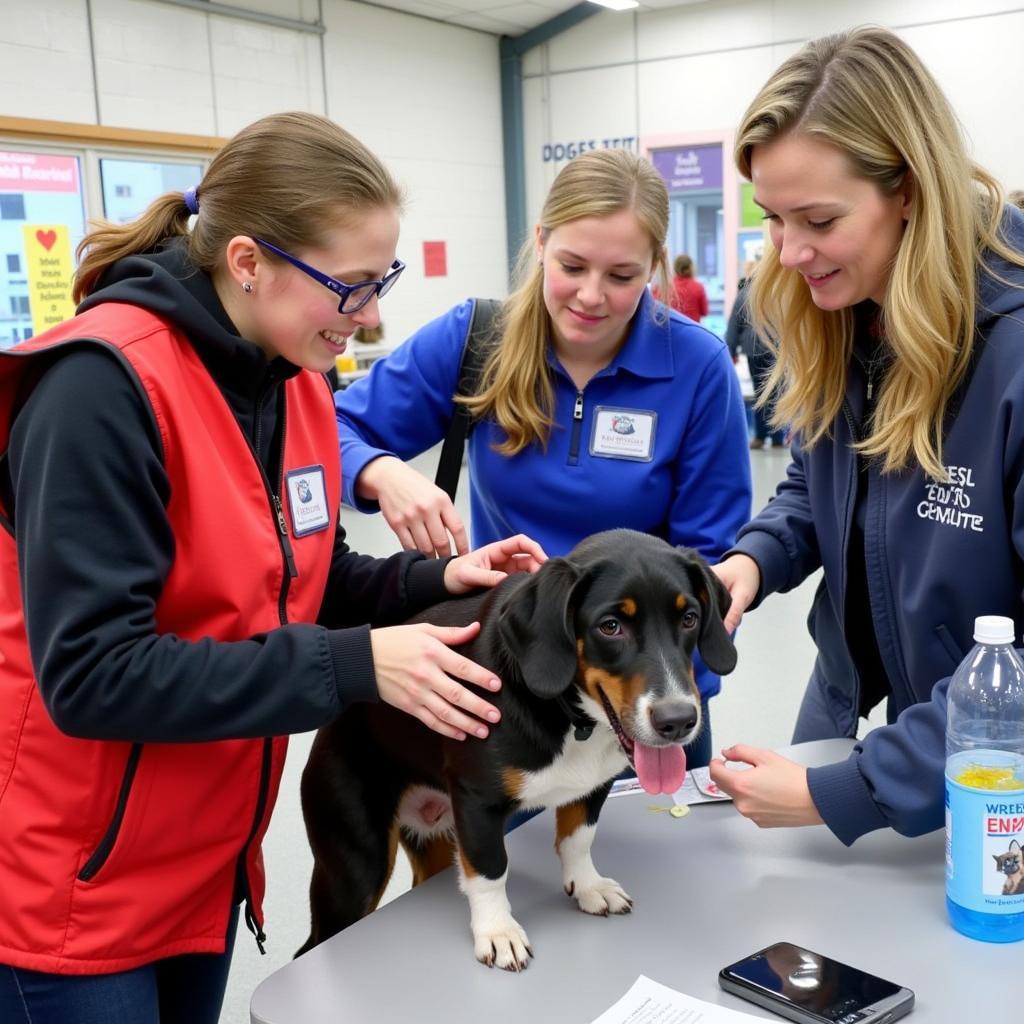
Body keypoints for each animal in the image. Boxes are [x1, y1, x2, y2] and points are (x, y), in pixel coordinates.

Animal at [296, 532, 737, 970]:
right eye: (610, 627)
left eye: (689, 618)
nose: (677, 720)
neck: (571, 718)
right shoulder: (476, 802)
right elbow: (490, 870)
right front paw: (497, 931)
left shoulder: (593, 786)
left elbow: (578, 839)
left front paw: (588, 885)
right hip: (356, 865)